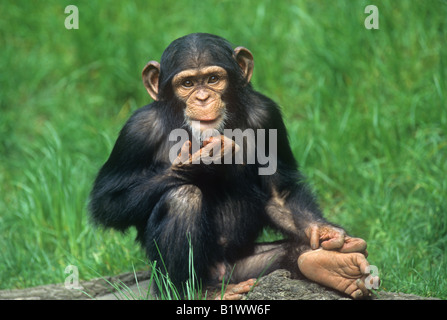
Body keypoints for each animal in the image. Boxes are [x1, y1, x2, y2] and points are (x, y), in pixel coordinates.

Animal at [89, 33, 376, 300]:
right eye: (187, 83)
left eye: (213, 79)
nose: (203, 97)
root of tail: (223, 275)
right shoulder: (137, 131)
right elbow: (109, 202)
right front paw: (194, 165)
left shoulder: (266, 114)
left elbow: (278, 192)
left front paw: (324, 231)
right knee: (182, 197)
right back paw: (197, 291)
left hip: (245, 268)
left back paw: (328, 264)